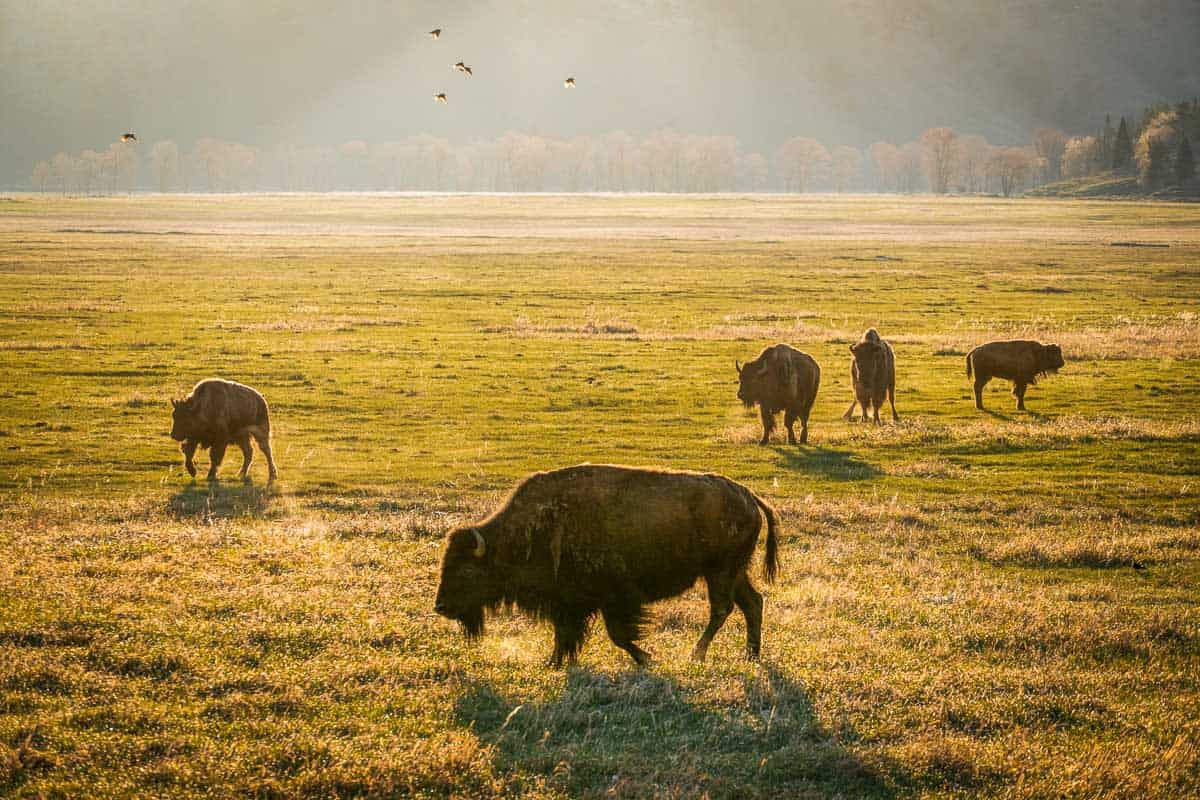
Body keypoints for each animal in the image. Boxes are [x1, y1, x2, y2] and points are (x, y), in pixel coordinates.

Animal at [436, 465, 782, 666]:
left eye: (466, 569)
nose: (441, 606)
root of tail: (749, 496)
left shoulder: (612, 598)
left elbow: (617, 634)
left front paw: (646, 659)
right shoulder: (568, 603)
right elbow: (564, 634)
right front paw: (554, 663)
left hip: (719, 571)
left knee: (722, 608)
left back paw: (696, 655)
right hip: (733, 571)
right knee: (752, 603)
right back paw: (750, 654)